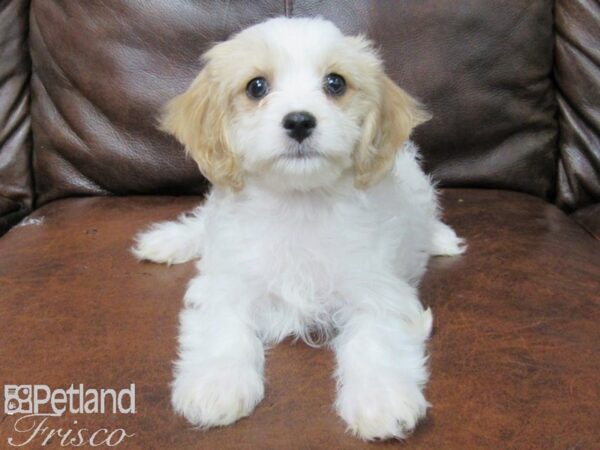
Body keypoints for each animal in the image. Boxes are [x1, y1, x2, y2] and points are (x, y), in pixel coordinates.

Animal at [134, 16, 466, 440]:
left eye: (335, 83)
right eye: (256, 86)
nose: (299, 121)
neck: (298, 202)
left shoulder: (377, 289)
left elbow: (376, 341)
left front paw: (381, 398)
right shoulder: (228, 281)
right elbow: (223, 329)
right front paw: (217, 385)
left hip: (418, 185)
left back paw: (441, 238)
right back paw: (166, 241)